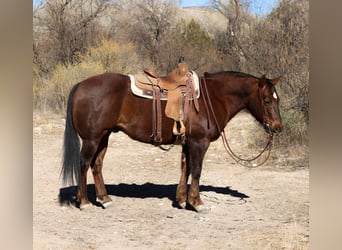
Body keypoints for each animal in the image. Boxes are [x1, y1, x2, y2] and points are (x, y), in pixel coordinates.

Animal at [61, 70, 284, 211]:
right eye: (266, 101)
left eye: (277, 99)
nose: (277, 127)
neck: (213, 98)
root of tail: (80, 85)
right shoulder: (199, 143)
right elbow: (196, 171)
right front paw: (197, 203)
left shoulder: (188, 143)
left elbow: (186, 169)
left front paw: (183, 200)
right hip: (92, 139)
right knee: (84, 165)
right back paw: (84, 202)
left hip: (104, 136)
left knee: (97, 165)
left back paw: (105, 199)